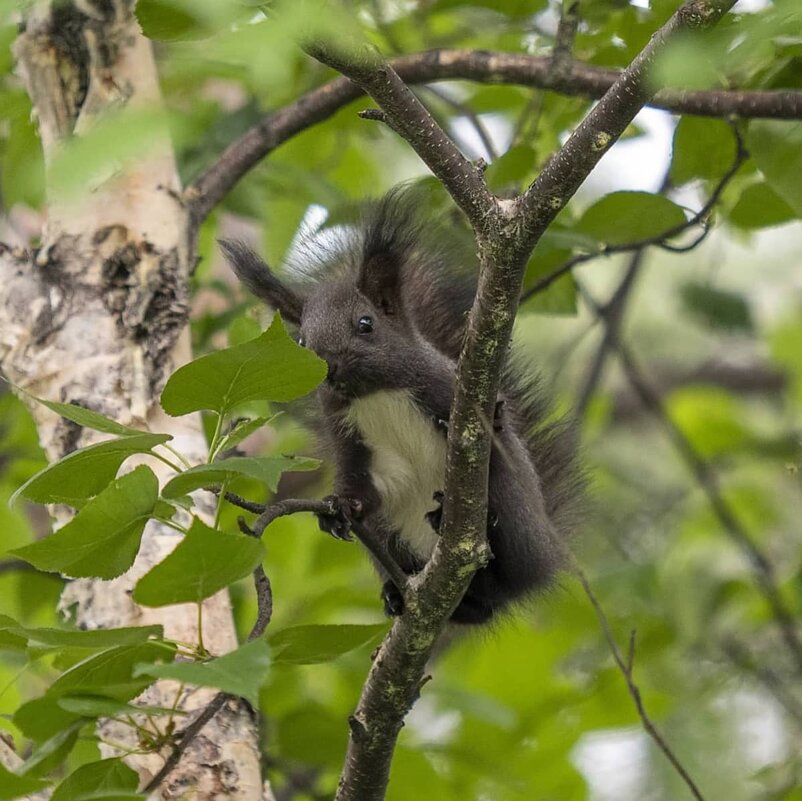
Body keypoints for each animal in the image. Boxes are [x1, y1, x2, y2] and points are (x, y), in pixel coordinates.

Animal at [219, 189, 580, 624]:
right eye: (301, 342)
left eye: (365, 323)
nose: (328, 366)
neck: (375, 394)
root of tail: (546, 555)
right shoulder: (355, 441)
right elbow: (368, 486)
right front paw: (338, 507)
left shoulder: (445, 386)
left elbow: (490, 426)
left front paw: (491, 418)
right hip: (390, 539)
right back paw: (398, 594)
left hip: (514, 514)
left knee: (499, 577)